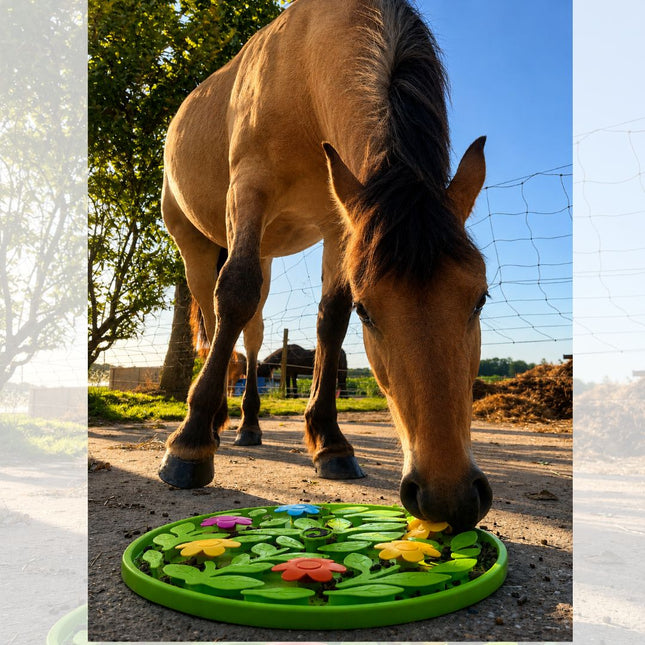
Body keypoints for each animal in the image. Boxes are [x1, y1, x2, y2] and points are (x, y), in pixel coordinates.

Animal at [160, 0, 491, 531]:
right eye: (369, 311)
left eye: (480, 298)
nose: (450, 496)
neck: (304, 80)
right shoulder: (248, 191)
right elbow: (234, 293)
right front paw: (188, 448)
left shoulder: (341, 226)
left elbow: (329, 320)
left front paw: (330, 443)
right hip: (196, 242)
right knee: (216, 321)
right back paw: (209, 422)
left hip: (263, 250)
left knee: (252, 337)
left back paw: (248, 425)